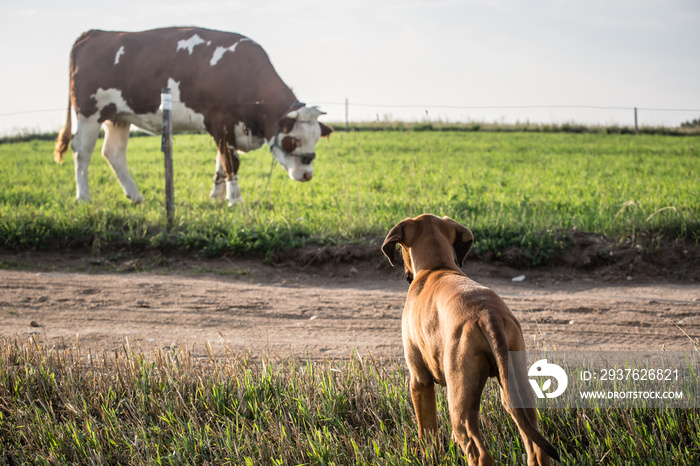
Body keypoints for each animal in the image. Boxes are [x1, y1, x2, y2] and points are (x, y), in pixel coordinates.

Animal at [53, 26, 332, 206]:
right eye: (295, 139)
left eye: (316, 140)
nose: (307, 175)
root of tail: (94, 33)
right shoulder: (220, 122)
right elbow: (231, 162)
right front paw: (235, 200)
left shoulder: (228, 129)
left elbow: (221, 163)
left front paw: (217, 197)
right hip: (89, 113)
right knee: (82, 151)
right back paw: (84, 197)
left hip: (118, 116)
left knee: (113, 153)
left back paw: (135, 196)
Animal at [382, 215, 556, 466]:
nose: (406, 275)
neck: (437, 267)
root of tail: (487, 314)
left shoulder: (419, 380)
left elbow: (427, 432)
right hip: (517, 388)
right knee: (536, 448)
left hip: (459, 400)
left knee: (479, 453)